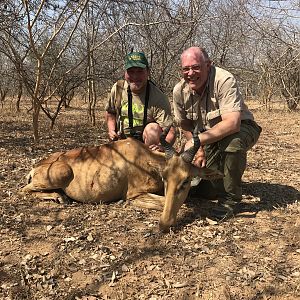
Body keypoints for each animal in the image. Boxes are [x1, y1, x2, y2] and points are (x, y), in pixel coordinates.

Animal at [21, 127, 223, 232]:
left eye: (186, 180)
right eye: (165, 177)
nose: (163, 225)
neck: (142, 157)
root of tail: (37, 166)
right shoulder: (134, 196)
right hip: (58, 175)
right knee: (24, 190)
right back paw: (59, 197)